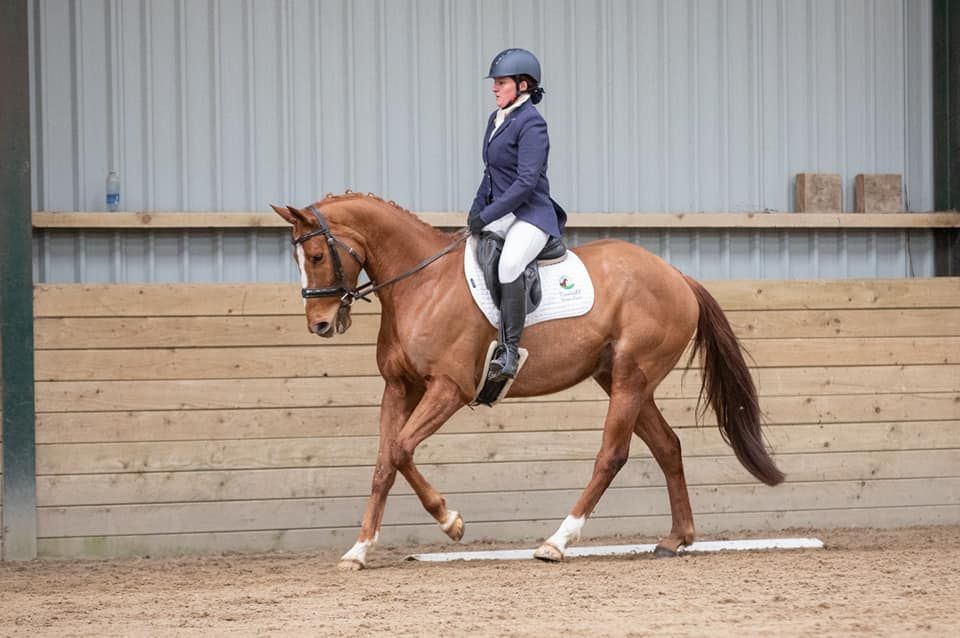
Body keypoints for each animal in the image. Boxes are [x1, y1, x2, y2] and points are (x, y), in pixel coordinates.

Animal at [268, 194, 780, 568]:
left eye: (316, 254)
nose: (320, 324)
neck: (421, 285)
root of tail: (676, 275)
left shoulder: (448, 389)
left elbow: (400, 450)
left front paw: (450, 521)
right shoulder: (399, 388)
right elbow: (383, 463)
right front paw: (358, 550)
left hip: (631, 380)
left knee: (612, 455)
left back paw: (557, 542)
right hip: (619, 379)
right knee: (668, 446)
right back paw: (676, 538)